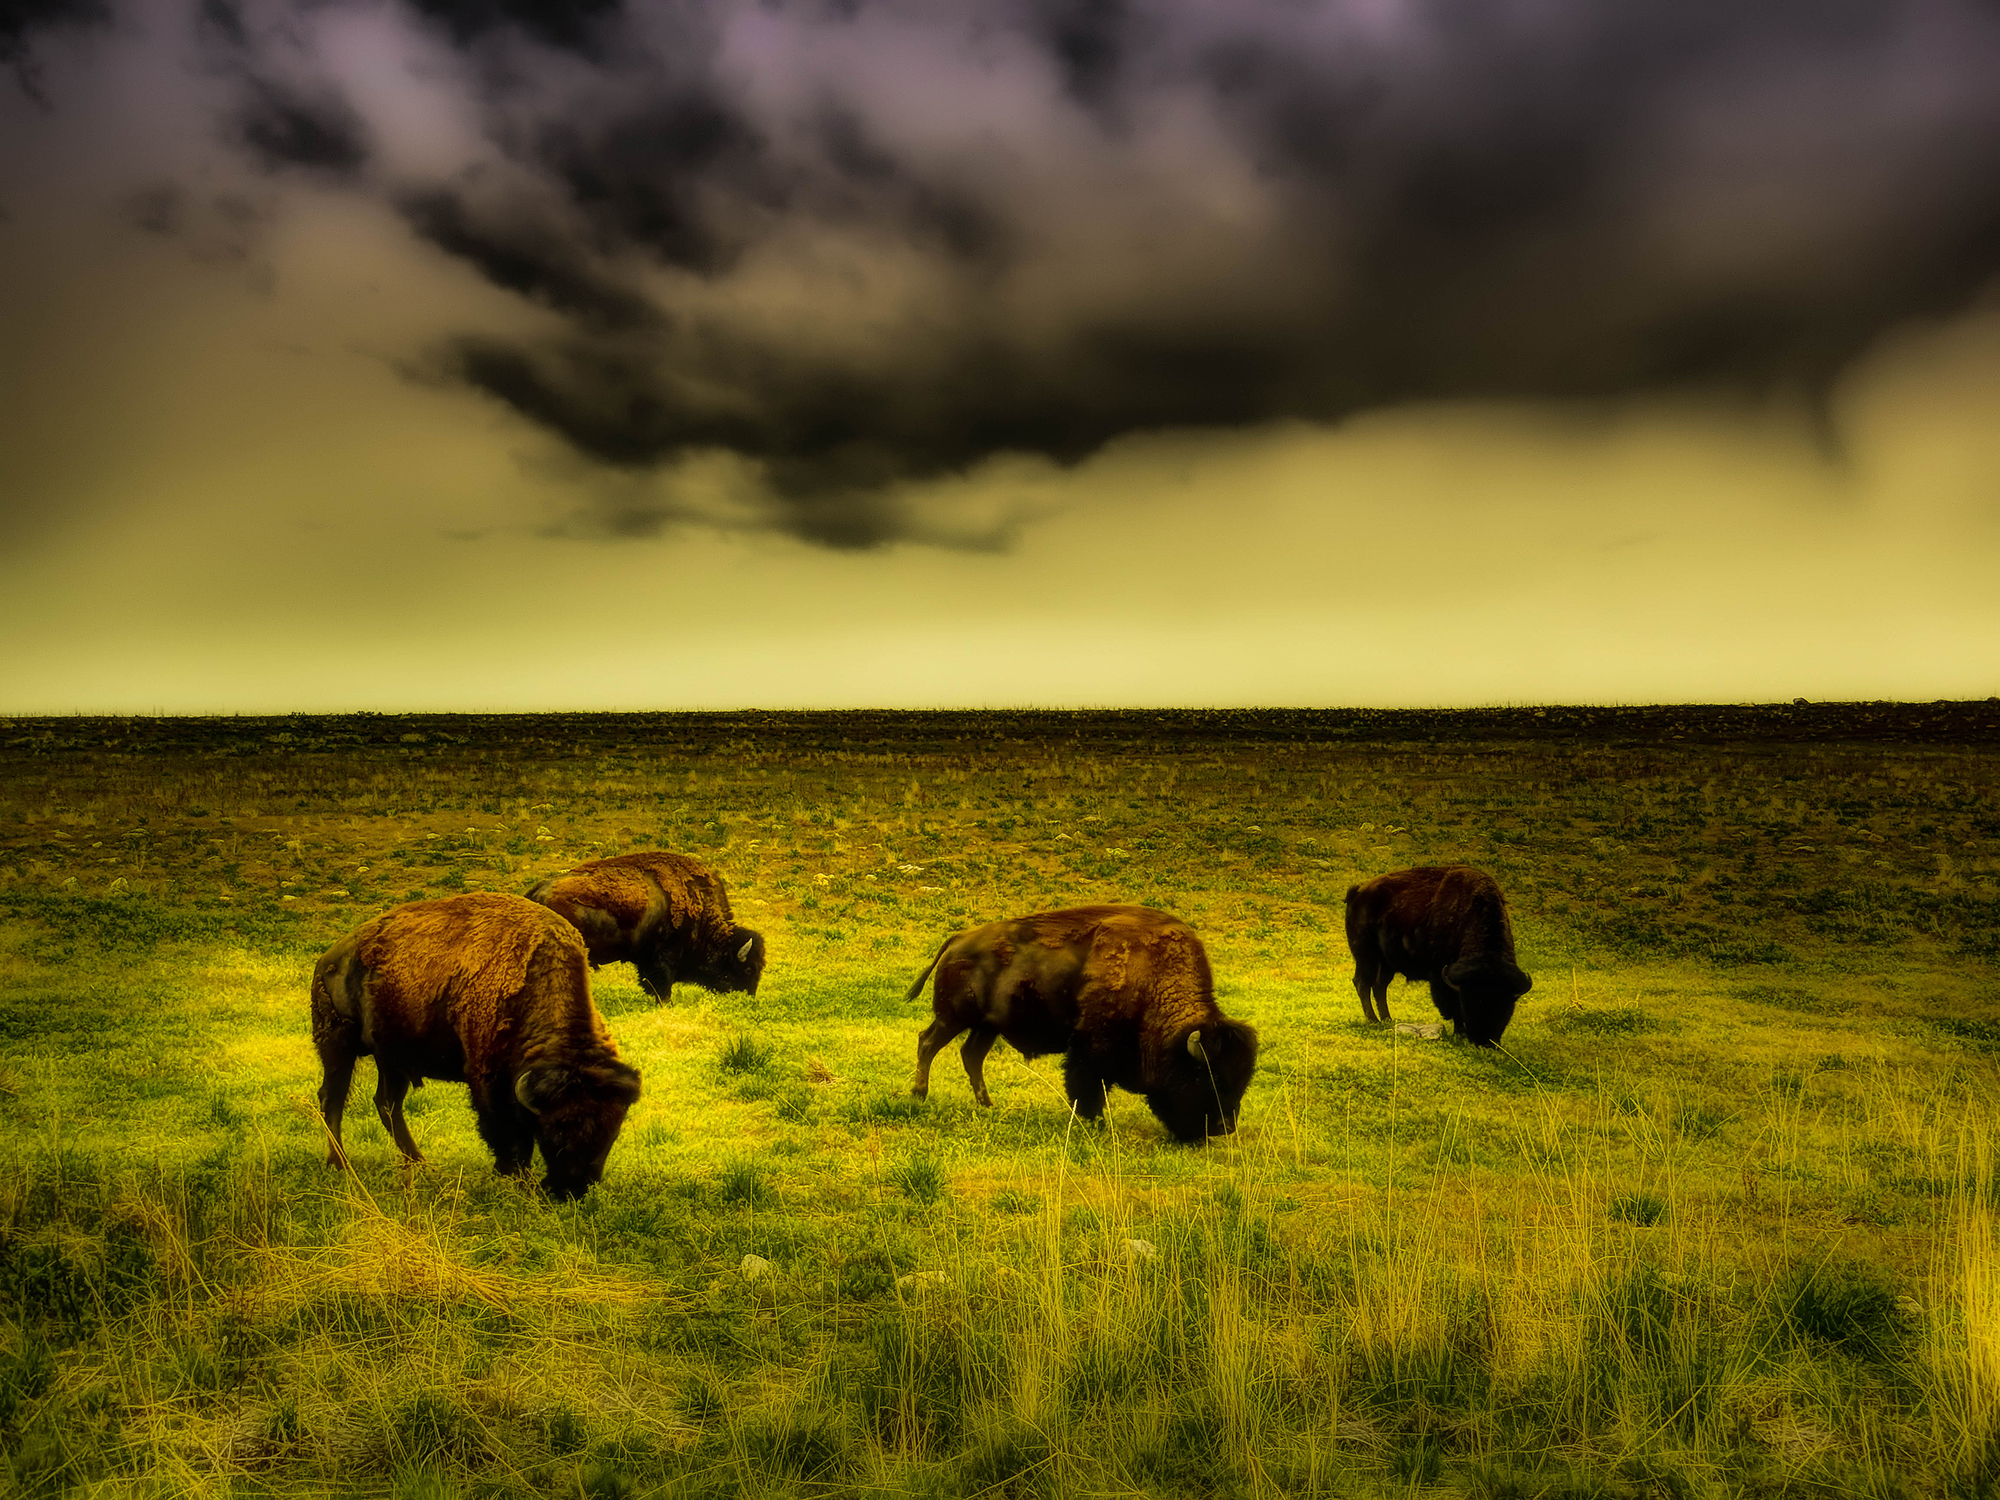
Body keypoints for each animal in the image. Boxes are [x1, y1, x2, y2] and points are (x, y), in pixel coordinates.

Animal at [308, 900, 644, 1208]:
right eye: (554, 1130)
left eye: (611, 1134)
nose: (572, 1190)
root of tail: (328, 959)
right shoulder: (487, 1079)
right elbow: (509, 1136)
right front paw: (518, 1181)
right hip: (337, 1043)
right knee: (332, 1099)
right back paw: (341, 1165)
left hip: (392, 1057)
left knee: (387, 1104)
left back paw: (420, 1164)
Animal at [904, 912, 1256, 1144]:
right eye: (1209, 1077)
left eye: (1242, 1082)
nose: (1224, 1127)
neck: (1151, 978)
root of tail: (958, 939)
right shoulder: (1091, 1050)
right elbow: (1087, 1086)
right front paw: (1094, 1122)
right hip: (954, 1018)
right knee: (928, 1043)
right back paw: (920, 1094)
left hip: (986, 1026)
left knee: (971, 1056)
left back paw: (987, 1104)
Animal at [1344, 868, 1528, 1048]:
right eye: (1469, 1002)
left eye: (1505, 1006)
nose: (1483, 1042)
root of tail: (1357, 892)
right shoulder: (1444, 980)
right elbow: (1453, 1008)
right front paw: (1459, 1033)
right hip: (1366, 957)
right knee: (1362, 984)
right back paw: (1373, 1020)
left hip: (1386, 964)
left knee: (1379, 986)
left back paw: (1387, 1019)